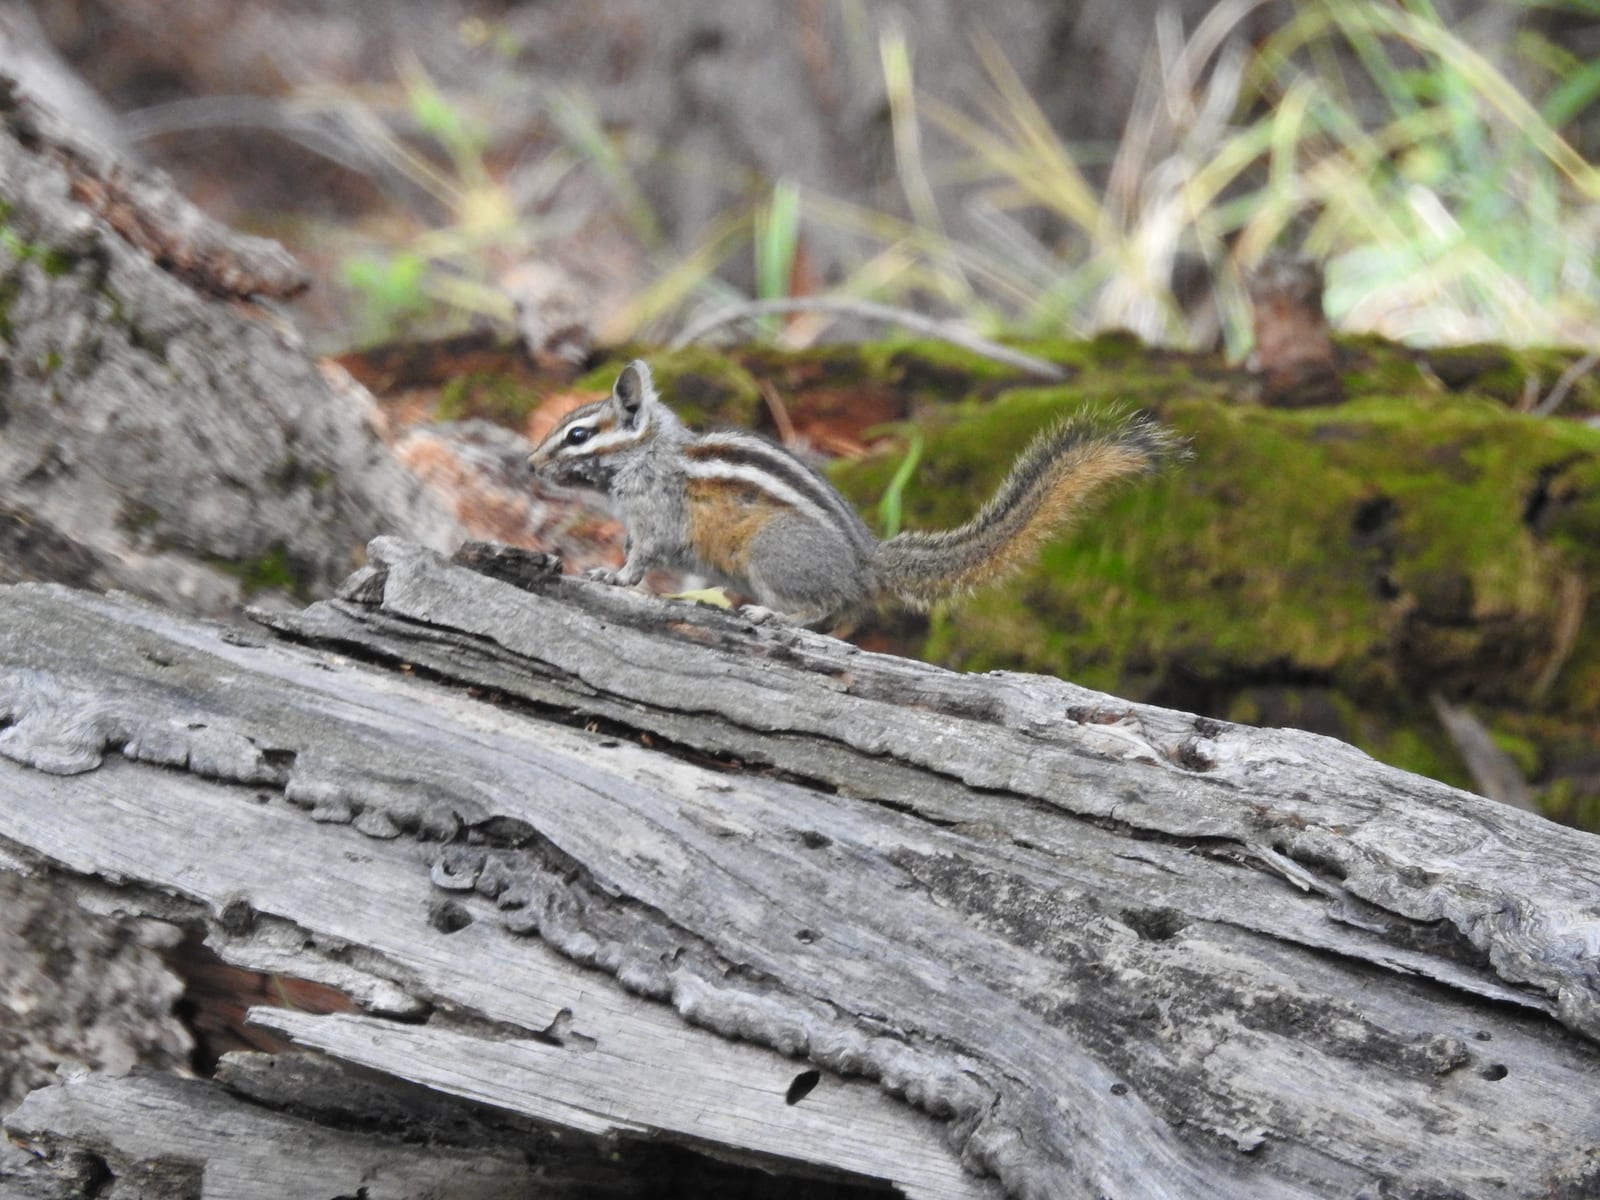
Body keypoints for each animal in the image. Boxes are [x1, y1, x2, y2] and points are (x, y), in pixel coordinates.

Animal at [529, 360, 1184, 626]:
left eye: (578, 435)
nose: (530, 465)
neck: (653, 450)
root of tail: (866, 564)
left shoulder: (656, 513)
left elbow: (644, 555)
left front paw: (614, 577)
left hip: (771, 551)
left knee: (822, 608)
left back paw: (772, 614)